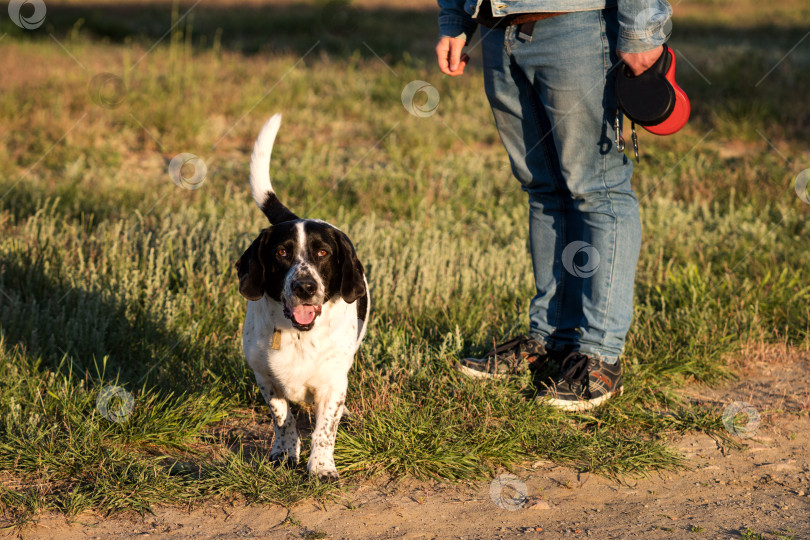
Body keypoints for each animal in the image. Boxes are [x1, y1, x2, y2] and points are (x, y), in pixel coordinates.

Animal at [234, 114, 370, 480]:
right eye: (282, 252)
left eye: (323, 252)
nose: (305, 287)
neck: (298, 335)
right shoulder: (266, 379)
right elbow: (283, 419)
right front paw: (284, 453)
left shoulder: (332, 385)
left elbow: (324, 429)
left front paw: (321, 466)